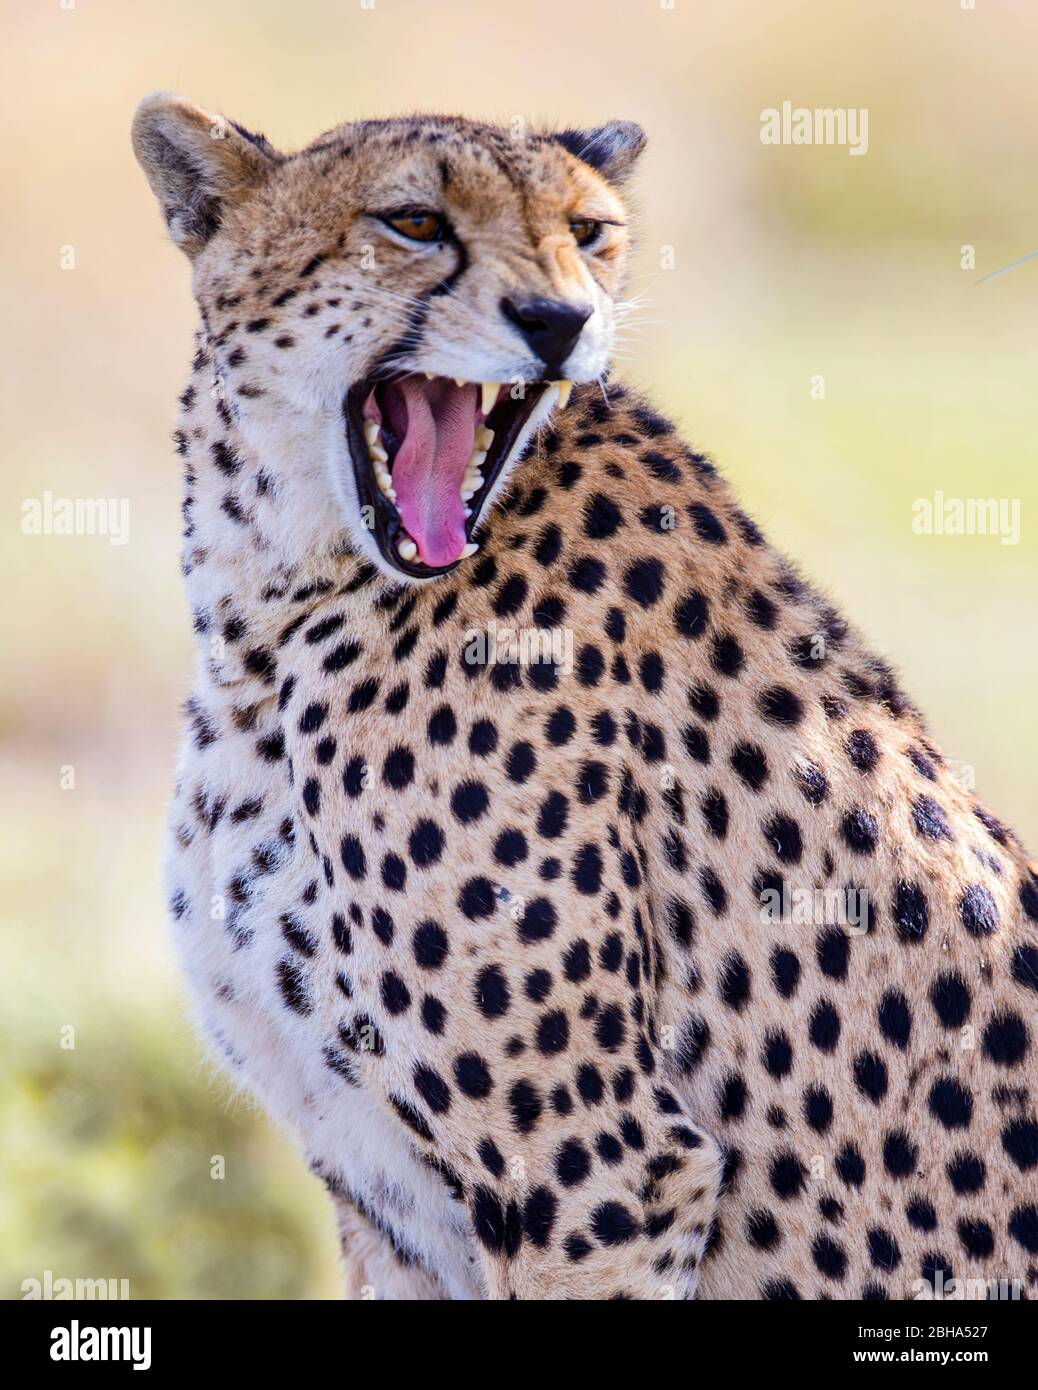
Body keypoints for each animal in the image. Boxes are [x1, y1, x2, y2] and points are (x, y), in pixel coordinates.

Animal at [132, 92, 1038, 1295]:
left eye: (591, 232)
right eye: (414, 221)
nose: (560, 320)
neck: (274, 614)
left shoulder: (601, 1161)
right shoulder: (390, 1204)